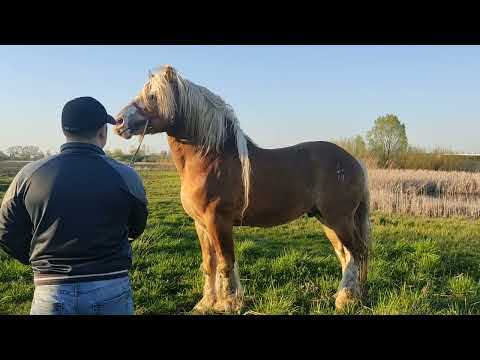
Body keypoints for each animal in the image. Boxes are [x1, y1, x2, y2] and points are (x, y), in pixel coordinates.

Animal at [113, 64, 372, 312]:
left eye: (153, 96)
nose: (119, 121)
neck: (210, 159)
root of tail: (355, 161)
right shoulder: (201, 224)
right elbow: (210, 264)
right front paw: (206, 303)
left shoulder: (218, 221)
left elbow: (226, 263)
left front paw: (227, 303)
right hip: (327, 220)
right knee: (346, 255)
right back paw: (348, 296)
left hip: (339, 219)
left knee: (357, 253)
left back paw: (346, 300)